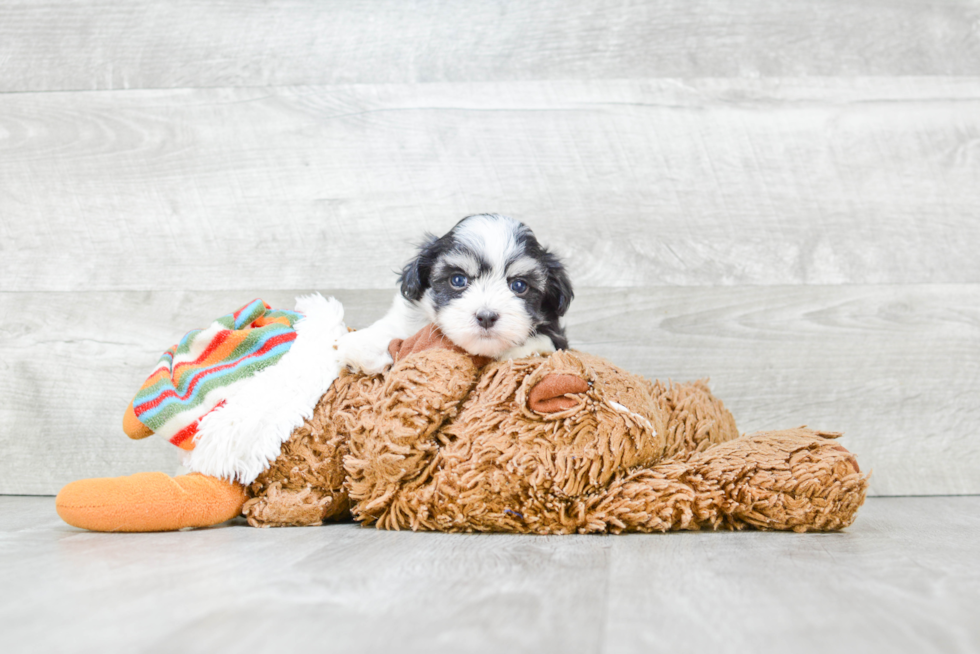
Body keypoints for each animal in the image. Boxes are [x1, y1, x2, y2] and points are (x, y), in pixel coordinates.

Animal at [340, 215, 576, 374]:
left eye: (519, 286)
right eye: (458, 280)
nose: (486, 317)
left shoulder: (557, 335)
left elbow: (545, 341)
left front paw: (516, 354)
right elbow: (393, 326)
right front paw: (362, 346)